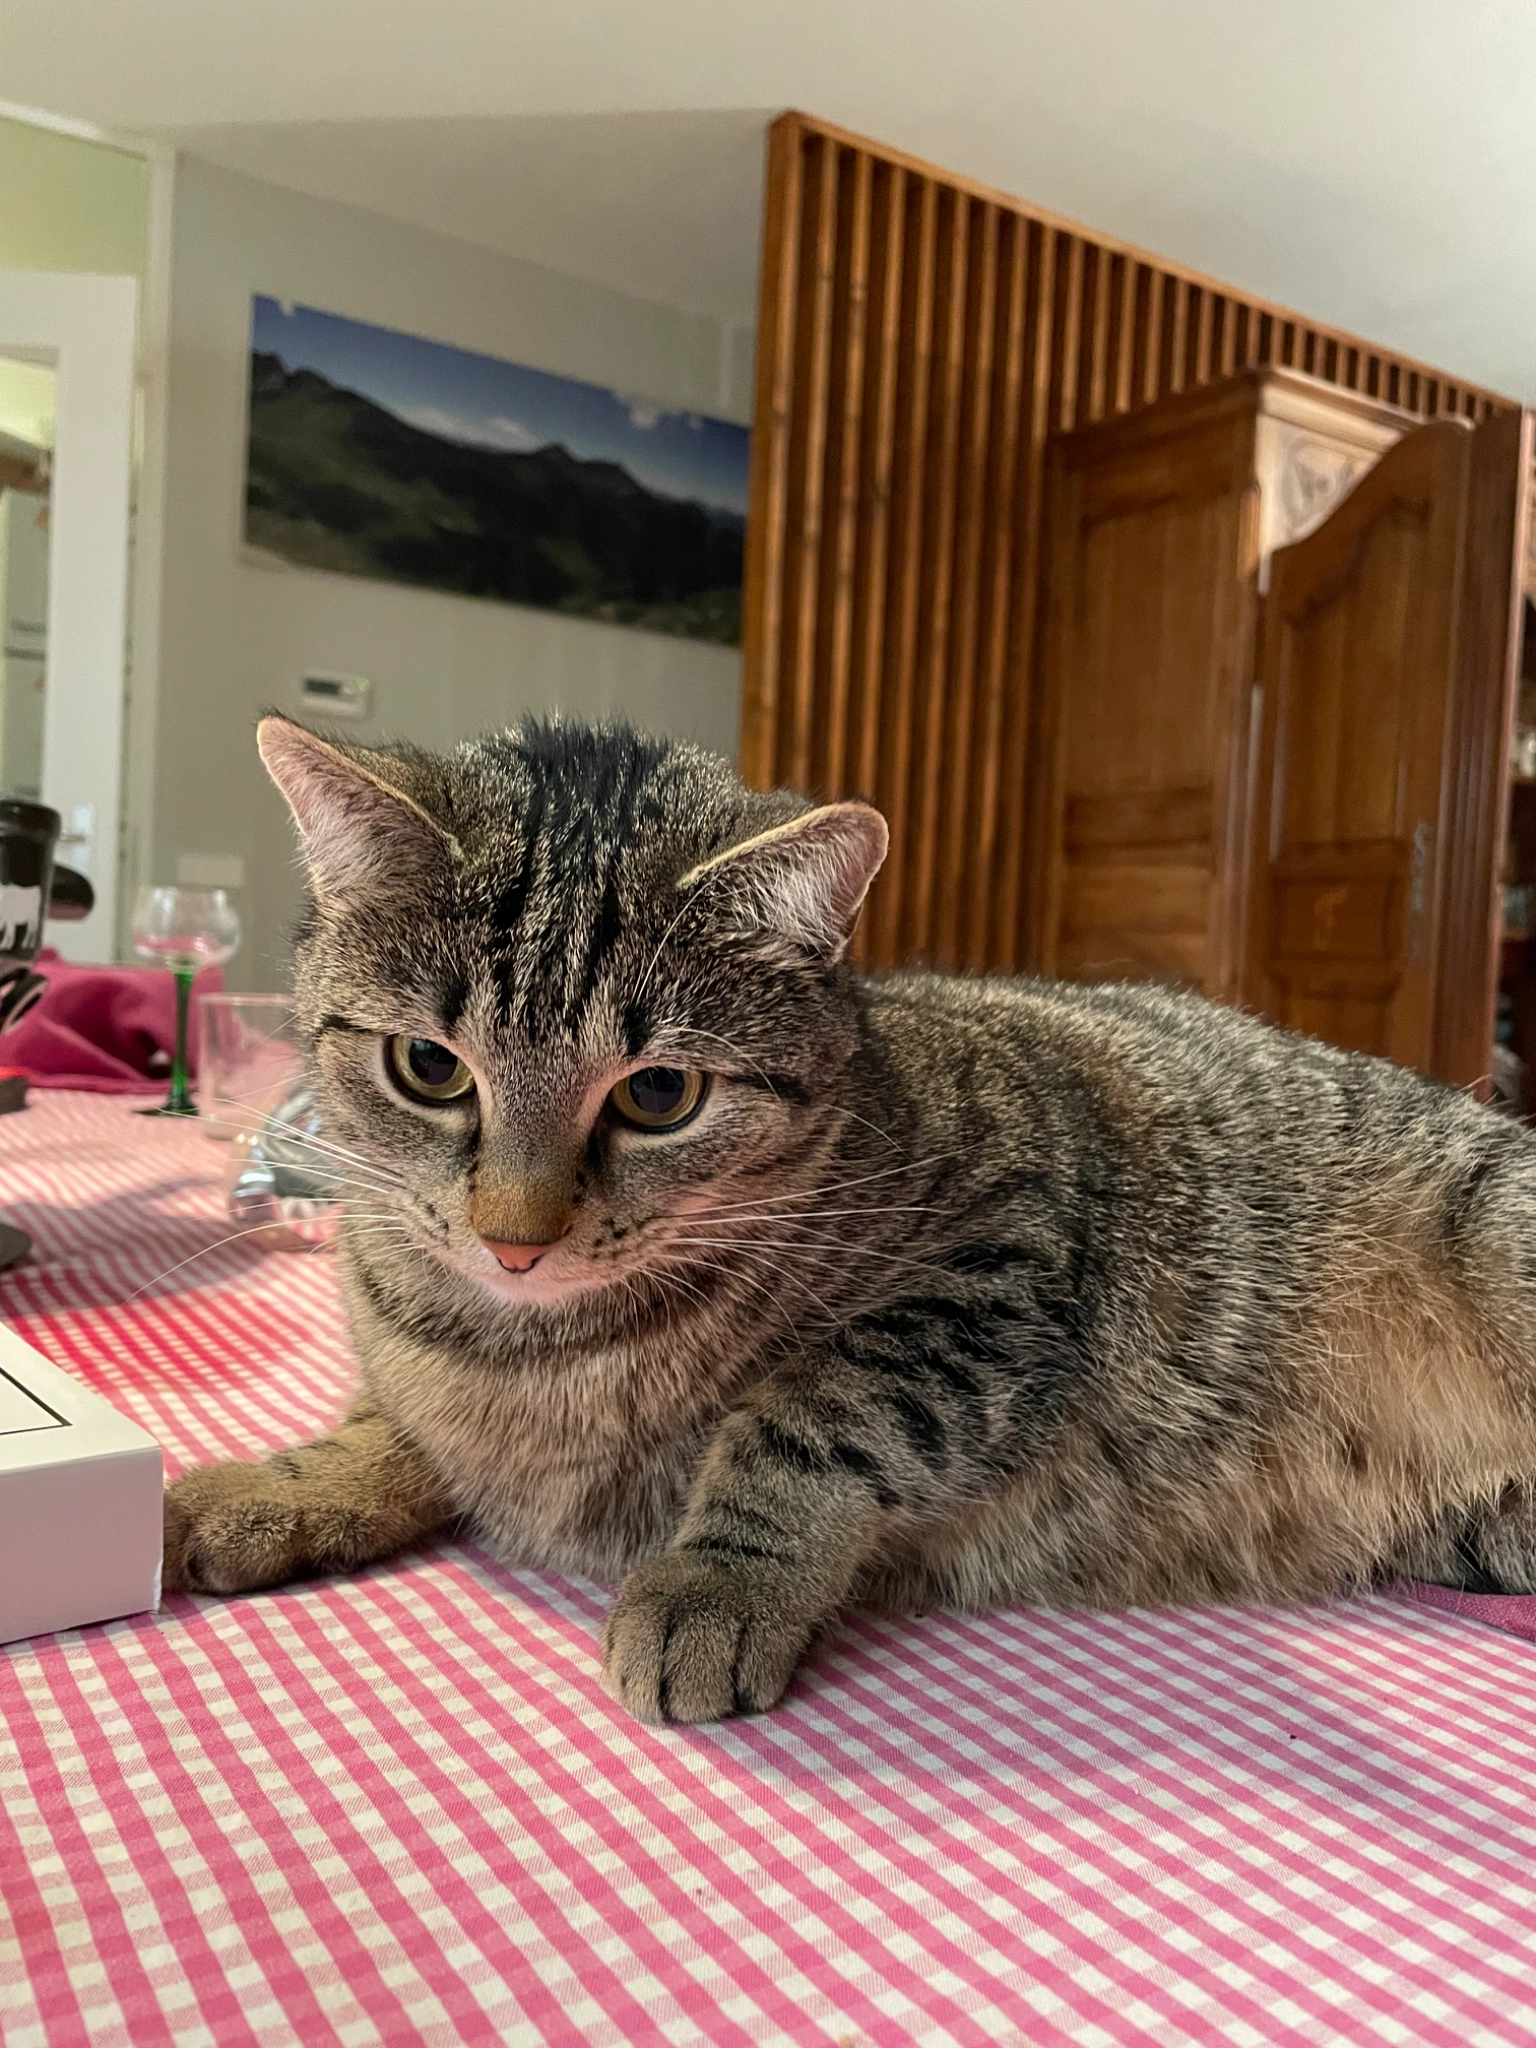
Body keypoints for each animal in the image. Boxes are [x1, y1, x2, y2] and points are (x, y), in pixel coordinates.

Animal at [163, 714, 1536, 1722]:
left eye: (658, 1094)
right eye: (428, 1068)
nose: (518, 1235)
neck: (530, 1350)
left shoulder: (1010, 1255)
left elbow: (813, 1418)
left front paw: (715, 1575)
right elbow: (387, 1423)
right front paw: (273, 1484)